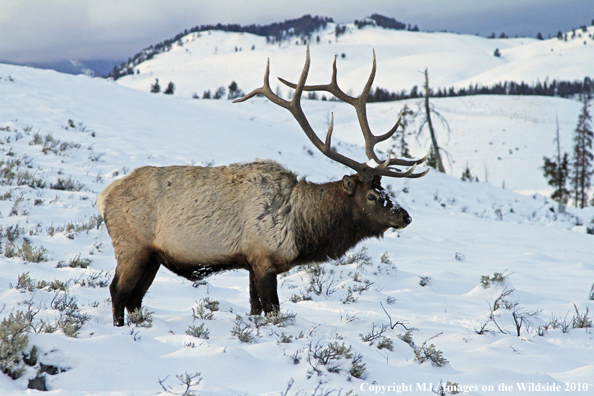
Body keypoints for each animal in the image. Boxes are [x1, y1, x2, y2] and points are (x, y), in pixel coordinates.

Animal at [97, 46, 426, 326]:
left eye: (386, 191)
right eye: (371, 195)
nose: (405, 216)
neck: (303, 229)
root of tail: (102, 197)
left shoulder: (251, 263)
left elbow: (255, 310)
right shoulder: (264, 258)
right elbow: (273, 311)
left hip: (152, 257)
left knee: (135, 299)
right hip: (132, 246)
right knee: (117, 292)